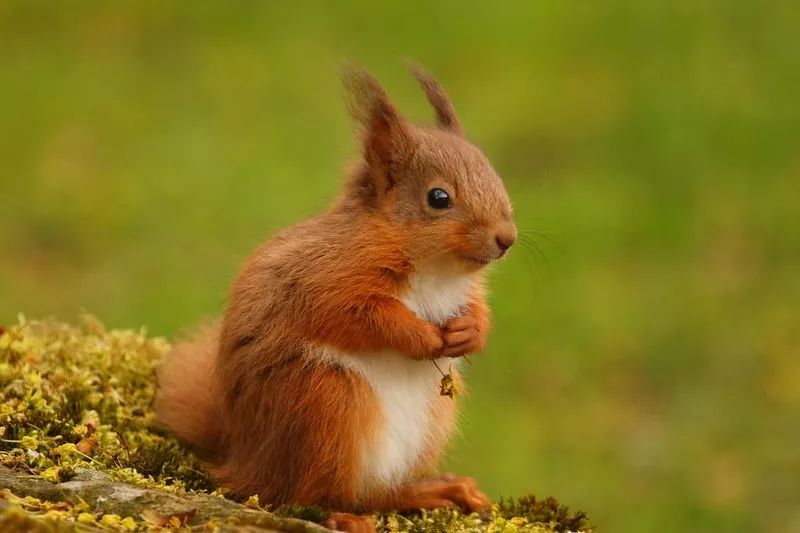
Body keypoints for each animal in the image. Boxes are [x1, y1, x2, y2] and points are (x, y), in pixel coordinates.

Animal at [156, 62, 520, 528]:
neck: (435, 272)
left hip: (429, 422)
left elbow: (477, 309)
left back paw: (434, 490)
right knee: (305, 492)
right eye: (438, 198)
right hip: (326, 403)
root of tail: (244, 460)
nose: (506, 238)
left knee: (378, 494)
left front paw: (470, 332)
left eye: (495, 176)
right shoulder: (326, 278)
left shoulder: (463, 291)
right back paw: (342, 515)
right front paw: (420, 337)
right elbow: (360, 315)